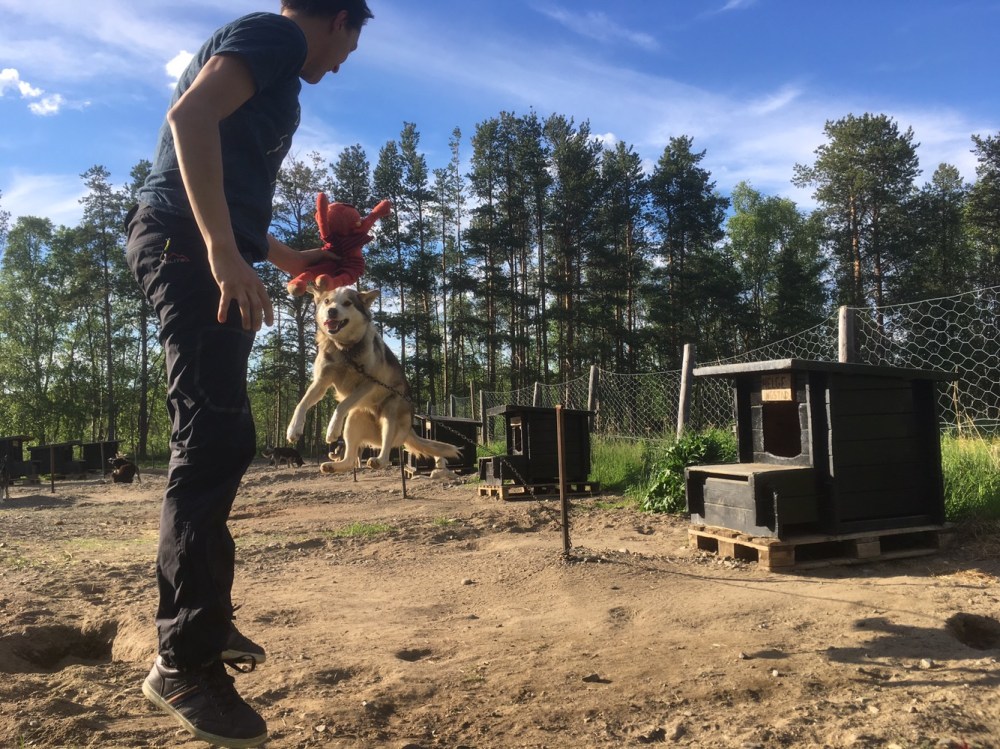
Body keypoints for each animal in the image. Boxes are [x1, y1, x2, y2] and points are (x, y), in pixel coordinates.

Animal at [286, 287, 460, 474]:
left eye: (347, 303)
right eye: (327, 301)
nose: (331, 311)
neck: (344, 349)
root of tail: (410, 429)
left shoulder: (369, 382)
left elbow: (341, 405)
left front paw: (332, 430)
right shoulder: (321, 382)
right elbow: (301, 404)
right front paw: (293, 430)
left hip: (390, 411)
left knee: (387, 449)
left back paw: (378, 460)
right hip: (354, 419)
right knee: (350, 459)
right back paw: (333, 466)